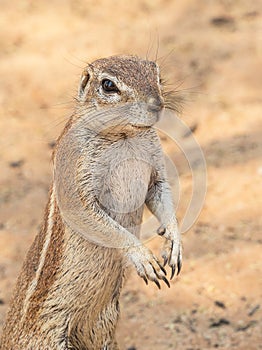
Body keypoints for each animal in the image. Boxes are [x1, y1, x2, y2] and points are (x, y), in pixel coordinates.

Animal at [0, 54, 182, 350]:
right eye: (108, 85)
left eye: (157, 75)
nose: (157, 105)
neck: (124, 137)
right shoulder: (77, 183)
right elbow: (103, 224)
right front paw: (143, 257)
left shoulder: (155, 171)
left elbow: (163, 197)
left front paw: (173, 243)